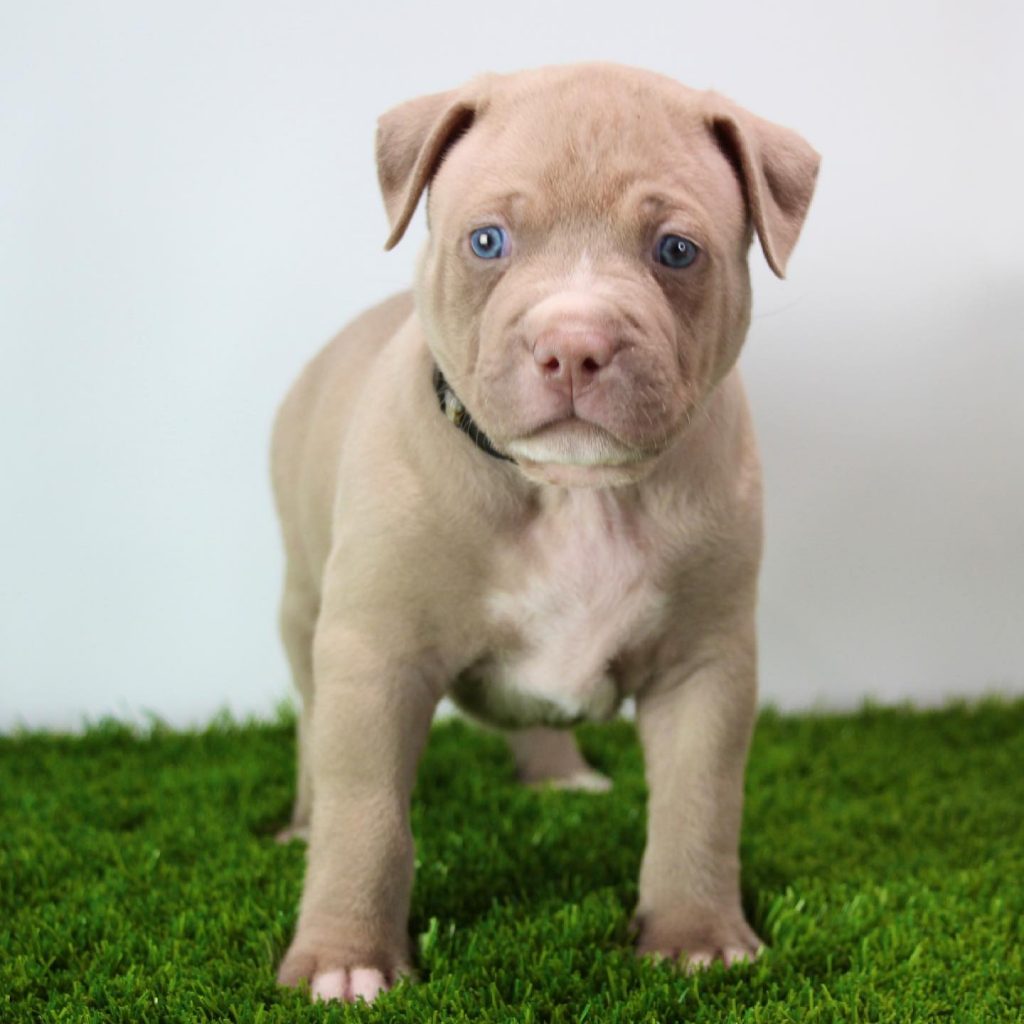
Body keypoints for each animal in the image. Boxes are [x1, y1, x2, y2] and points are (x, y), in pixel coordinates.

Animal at [268, 61, 819, 999]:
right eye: (488, 241)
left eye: (677, 250)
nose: (575, 344)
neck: (573, 491)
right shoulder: (374, 653)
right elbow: (366, 812)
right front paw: (345, 959)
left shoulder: (706, 662)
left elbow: (700, 802)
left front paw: (697, 936)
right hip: (305, 605)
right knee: (313, 729)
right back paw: (303, 822)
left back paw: (557, 775)